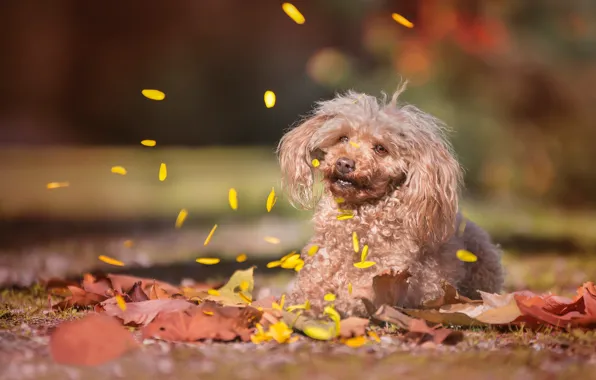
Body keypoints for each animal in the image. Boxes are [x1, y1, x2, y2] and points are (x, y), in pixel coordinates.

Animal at [274, 84, 502, 318]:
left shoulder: (390, 275)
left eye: (380, 148)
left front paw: (337, 304)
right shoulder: (319, 266)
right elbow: (306, 292)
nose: (344, 163)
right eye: (343, 138)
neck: (358, 219)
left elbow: (358, 295)